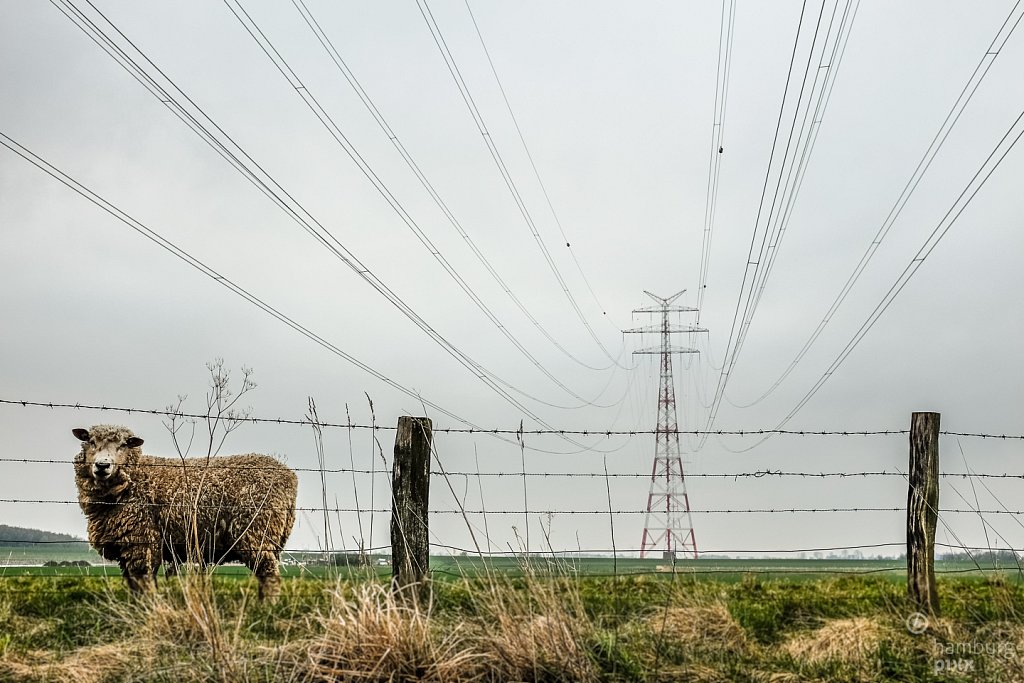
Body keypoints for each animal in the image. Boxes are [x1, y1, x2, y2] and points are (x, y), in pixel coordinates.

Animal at [72, 424, 297, 600]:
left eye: (124, 444)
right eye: (90, 441)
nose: (102, 465)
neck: (133, 479)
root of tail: (290, 477)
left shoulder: (142, 542)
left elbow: (145, 584)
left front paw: (148, 609)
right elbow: (134, 586)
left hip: (256, 533)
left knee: (269, 575)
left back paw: (267, 607)